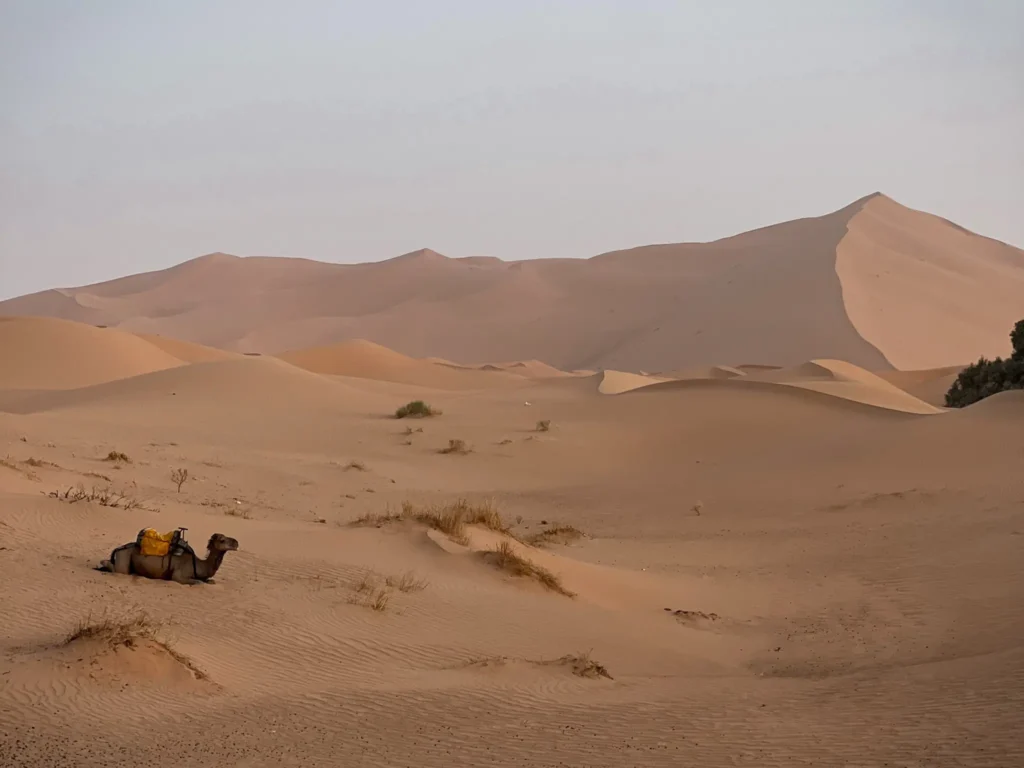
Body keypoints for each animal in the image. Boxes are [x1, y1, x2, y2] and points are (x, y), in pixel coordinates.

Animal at [97, 533, 239, 585]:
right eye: (222, 540)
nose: (236, 542)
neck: (198, 564)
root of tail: (119, 548)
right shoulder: (179, 575)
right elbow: (197, 582)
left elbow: (209, 581)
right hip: (124, 558)